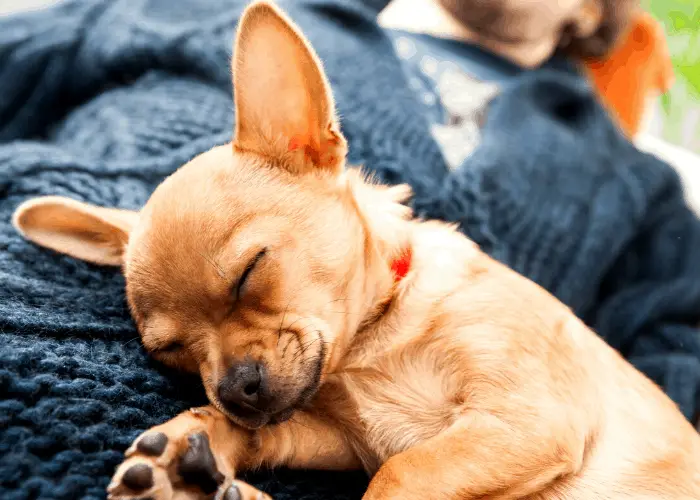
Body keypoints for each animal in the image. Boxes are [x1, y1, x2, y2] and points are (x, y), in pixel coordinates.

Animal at [13, 0, 700, 500]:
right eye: (170, 350)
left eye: (250, 271)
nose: (234, 388)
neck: (374, 340)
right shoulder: (345, 440)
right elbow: (276, 433)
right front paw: (190, 442)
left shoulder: (523, 420)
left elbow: (397, 476)